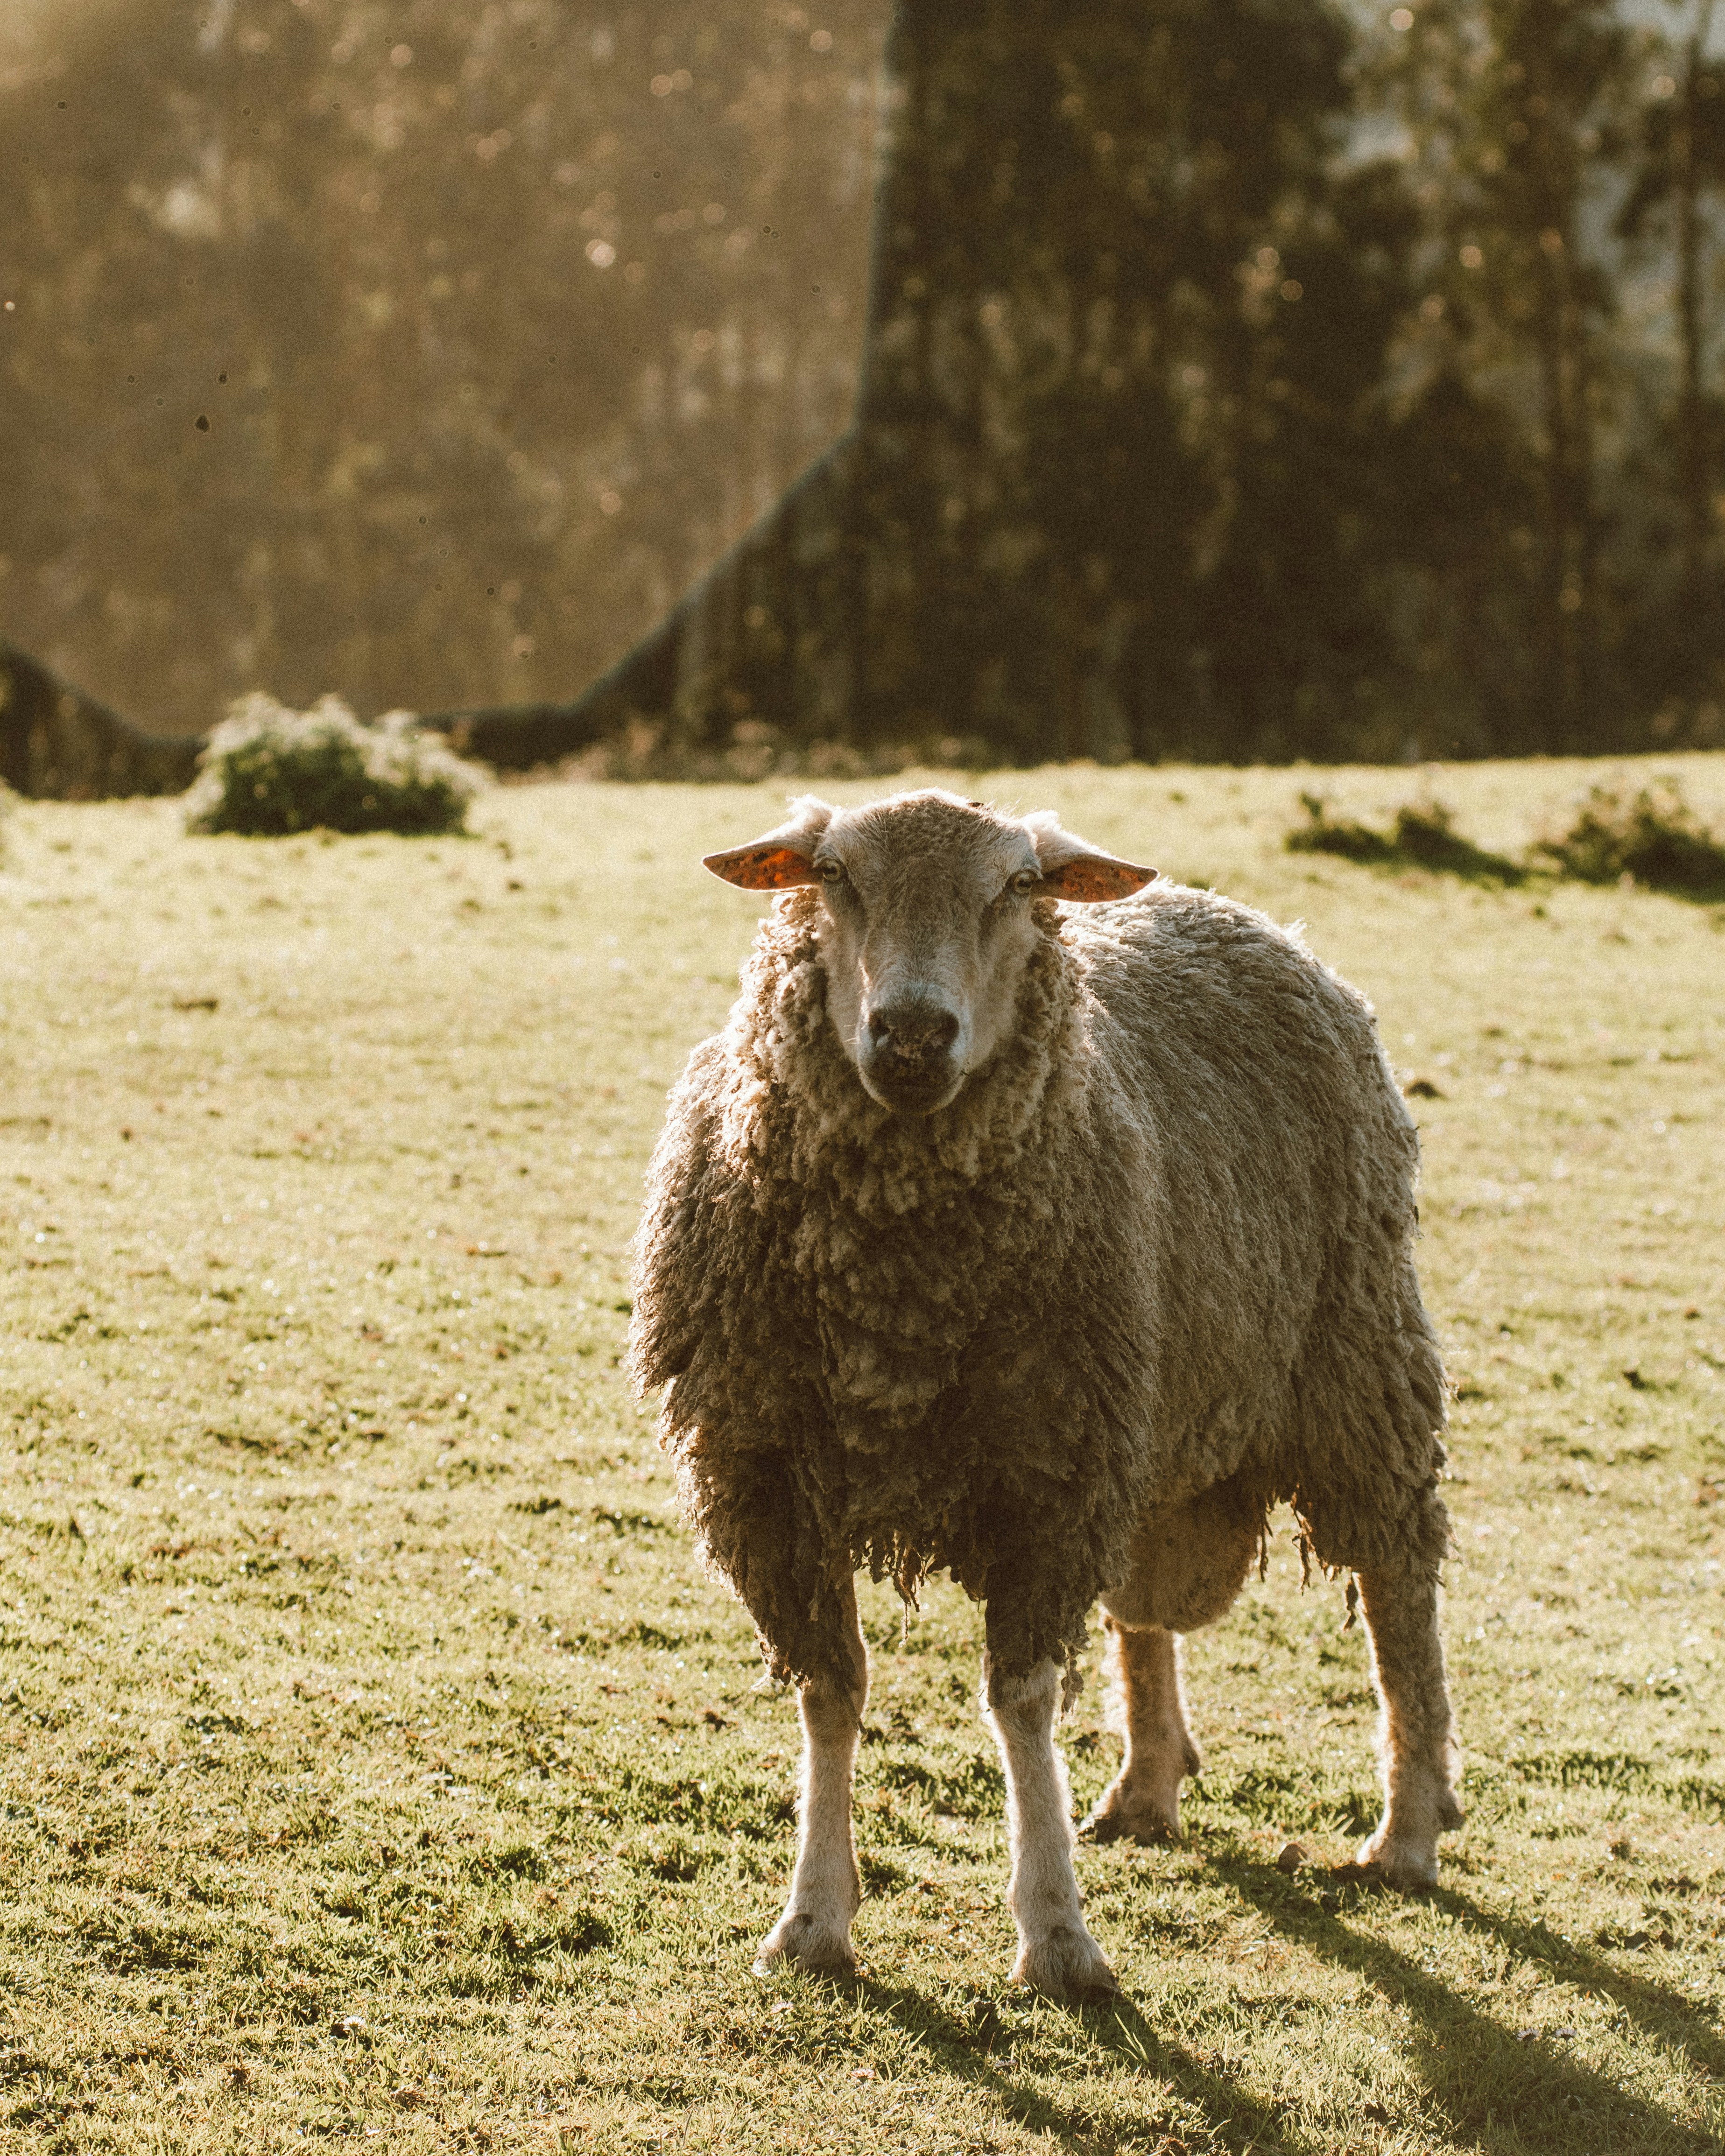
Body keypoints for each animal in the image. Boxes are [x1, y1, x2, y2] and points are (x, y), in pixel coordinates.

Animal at [625, 785, 1466, 1992]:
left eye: (1017, 885)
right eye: (832, 874)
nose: (912, 1033)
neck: (900, 1287)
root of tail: (1238, 914)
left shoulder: (1045, 1474)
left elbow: (1019, 1700)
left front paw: (1056, 1931)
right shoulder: (768, 1477)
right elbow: (831, 1687)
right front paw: (813, 1918)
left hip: (1353, 1363)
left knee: (1398, 1585)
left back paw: (1404, 1826)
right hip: (1146, 1411)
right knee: (1143, 1608)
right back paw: (1144, 1786)